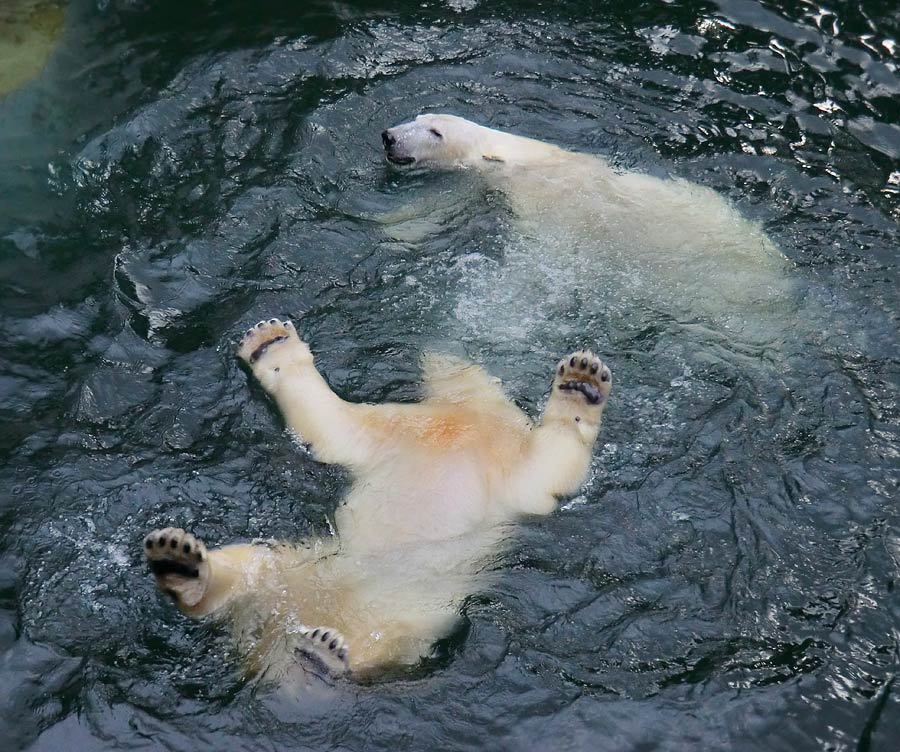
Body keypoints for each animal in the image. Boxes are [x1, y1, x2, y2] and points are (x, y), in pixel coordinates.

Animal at [142, 314, 612, 680]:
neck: (463, 427)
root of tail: (271, 633)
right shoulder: (398, 429)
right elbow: (327, 425)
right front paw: (269, 340)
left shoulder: (508, 472)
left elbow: (555, 466)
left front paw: (582, 382)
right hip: (302, 563)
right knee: (251, 563)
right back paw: (182, 563)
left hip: (409, 616)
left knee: (382, 643)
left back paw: (320, 651)